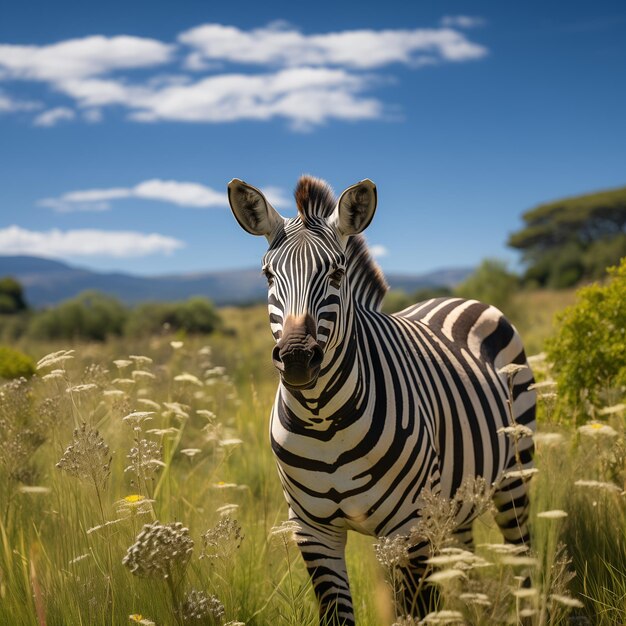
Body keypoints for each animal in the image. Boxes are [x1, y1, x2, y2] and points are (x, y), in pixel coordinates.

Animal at [227, 173, 532, 620]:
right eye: (267, 275)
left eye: (337, 273)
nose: (297, 358)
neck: (322, 422)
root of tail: (457, 297)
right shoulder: (313, 532)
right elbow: (338, 614)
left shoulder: (410, 527)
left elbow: (417, 611)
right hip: (456, 499)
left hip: (514, 474)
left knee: (523, 554)